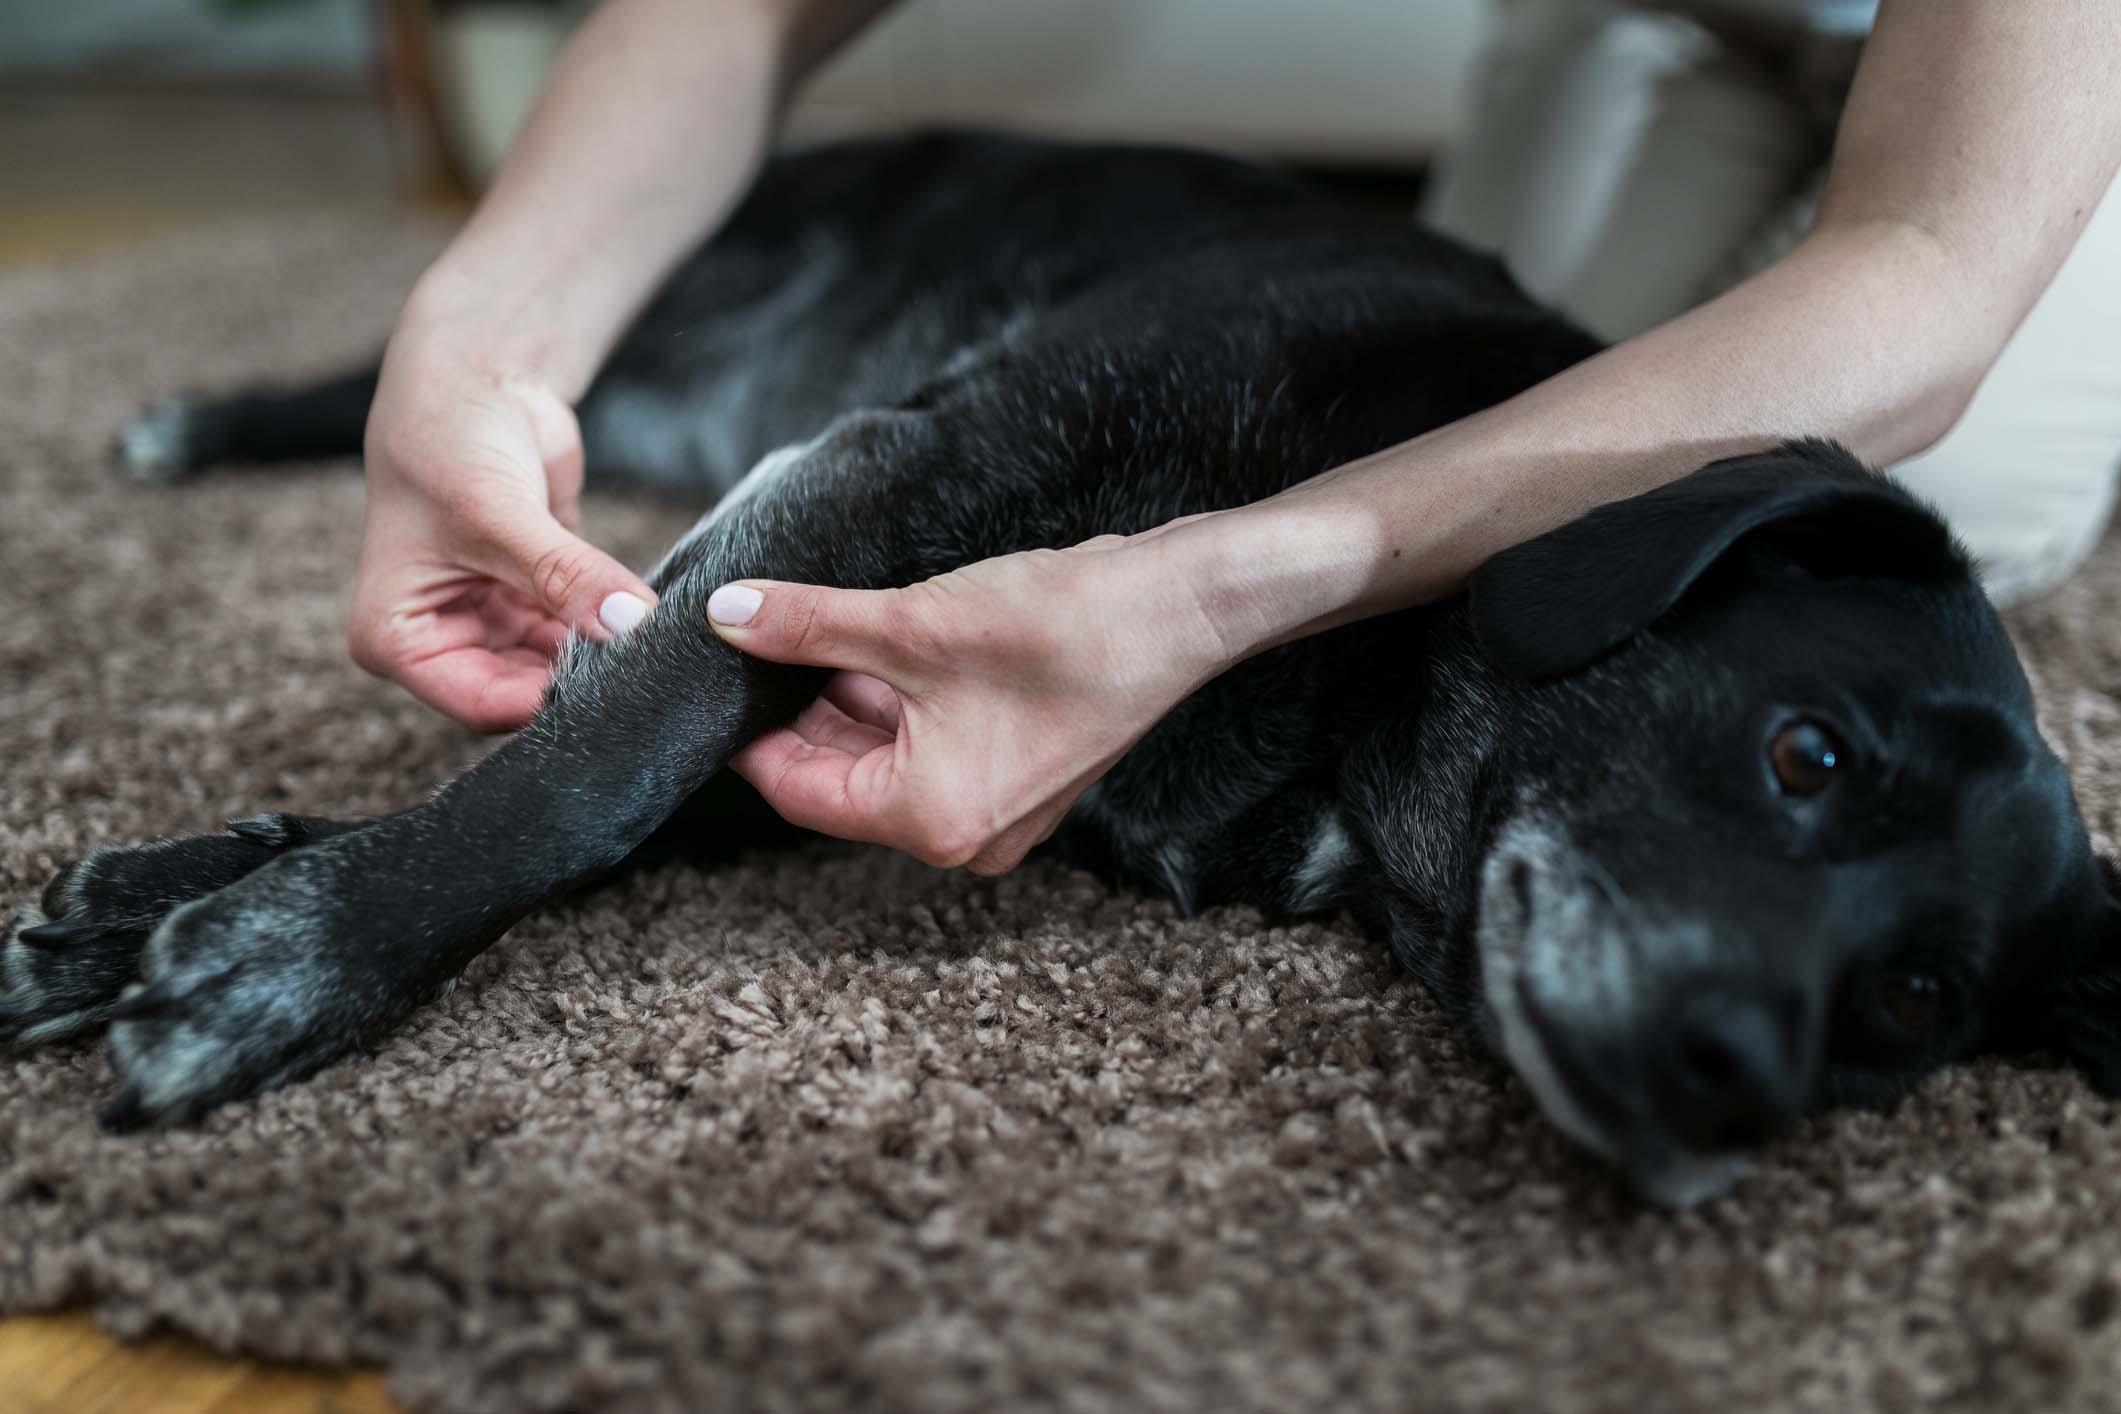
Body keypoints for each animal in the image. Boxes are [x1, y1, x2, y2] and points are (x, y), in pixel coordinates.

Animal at [4, 135, 2121, 1204]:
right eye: (1807, 752)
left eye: (1914, 1003)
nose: (1740, 1084)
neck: (1356, 694)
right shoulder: (883, 479)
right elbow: (597, 768)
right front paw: (290, 956)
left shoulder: (861, 699)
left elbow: (622, 783)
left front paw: (168, 905)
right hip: (665, 316)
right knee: (421, 362)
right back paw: (204, 420)